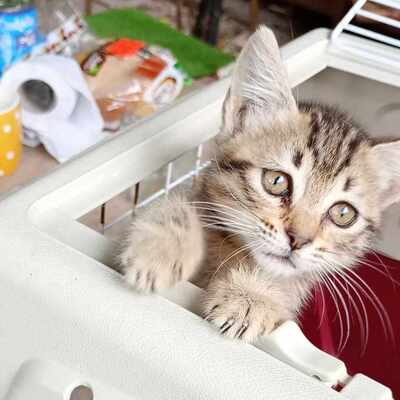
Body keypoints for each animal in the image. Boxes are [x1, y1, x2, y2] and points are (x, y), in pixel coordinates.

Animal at [120, 26, 400, 342]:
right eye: (276, 181)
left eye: (343, 214)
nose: (298, 240)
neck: (234, 253)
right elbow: (174, 207)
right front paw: (160, 250)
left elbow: (284, 280)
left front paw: (252, 297)